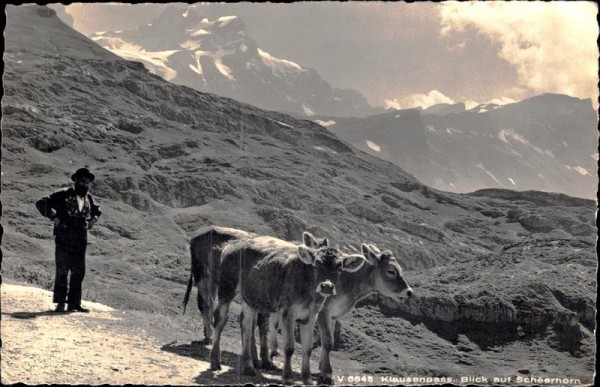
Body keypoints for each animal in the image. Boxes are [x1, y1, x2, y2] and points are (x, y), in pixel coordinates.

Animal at [211, 236, 364, 384]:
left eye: (340, 269)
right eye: (315, 266)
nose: (326, 286)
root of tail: (232, 244)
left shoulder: (311, 316)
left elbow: (308, 348)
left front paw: (307, 378)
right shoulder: (288, 311)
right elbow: (289, 347)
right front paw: (288, 377)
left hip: (251, 297)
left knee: (246, 324)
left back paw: (248, 367)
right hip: (227, 287)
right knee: (219, 320)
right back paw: (215, 361)